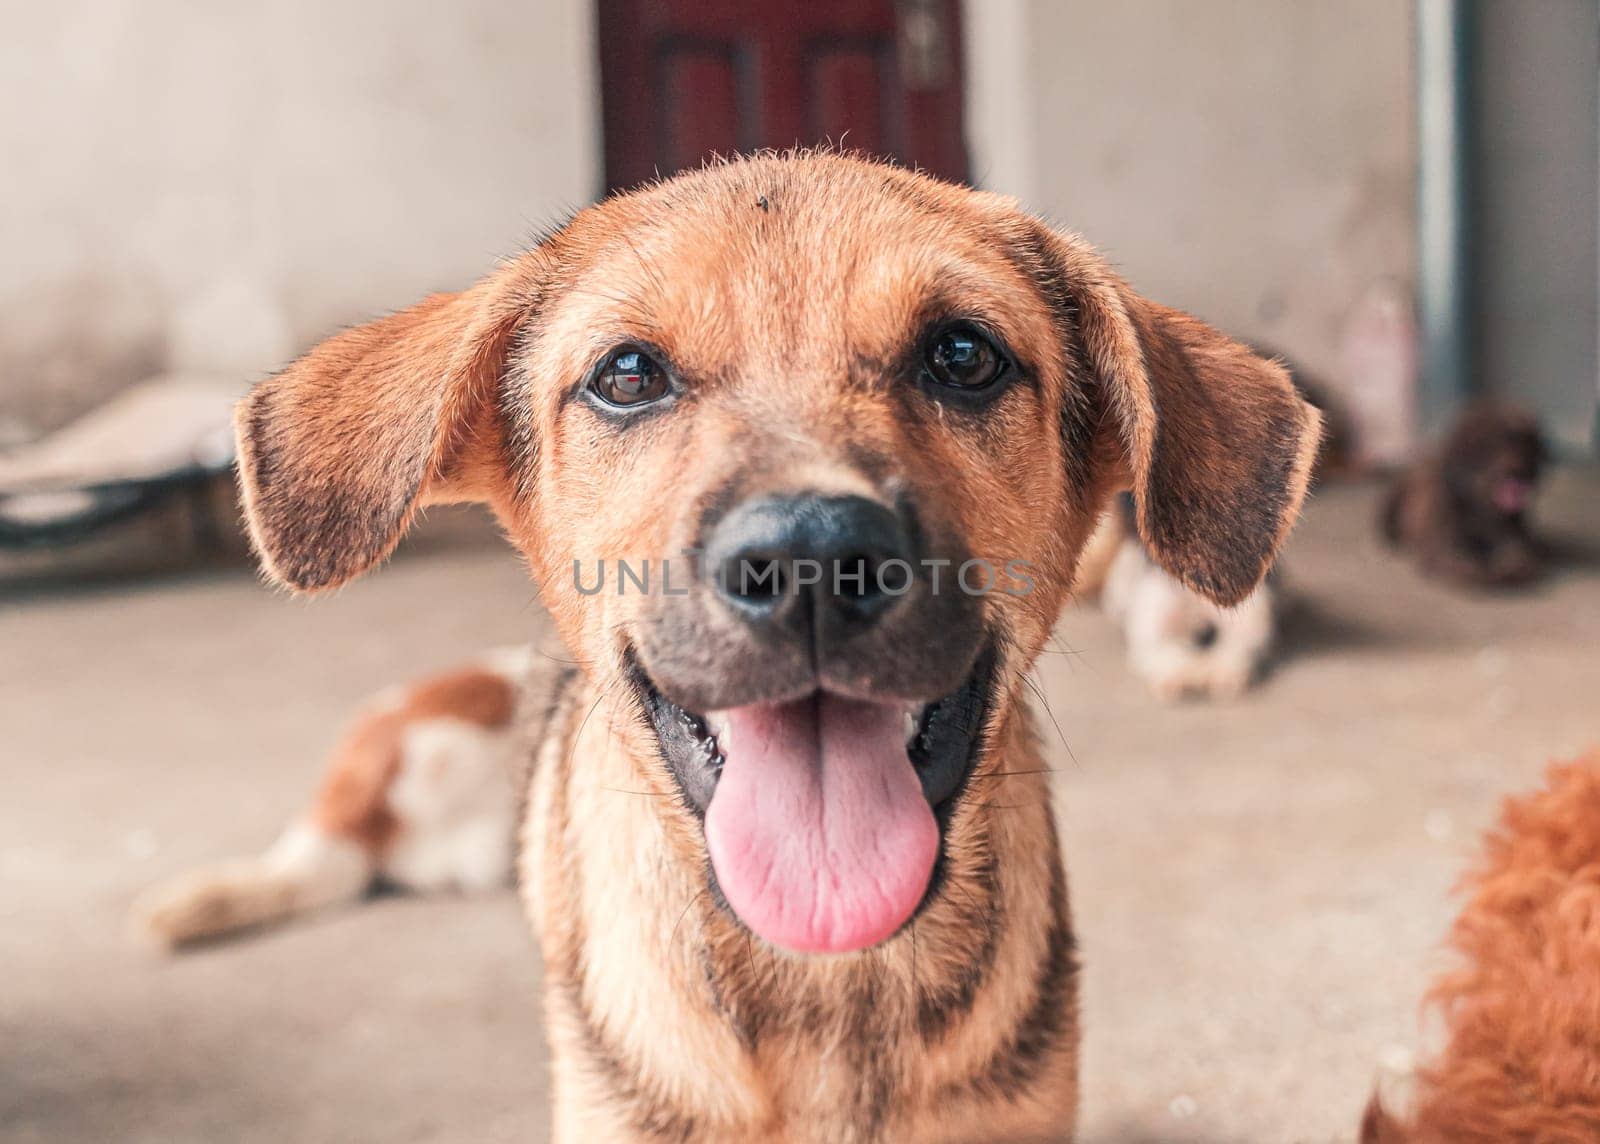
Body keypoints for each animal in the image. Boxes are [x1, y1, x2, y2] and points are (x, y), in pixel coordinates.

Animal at [1382, 400, 1542, 592]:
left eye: (1522, 442)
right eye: (1492, 445)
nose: (1518, 472)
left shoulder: (1515, 541)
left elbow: (1520, 562)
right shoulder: (1446, 550)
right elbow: (1473, 572)